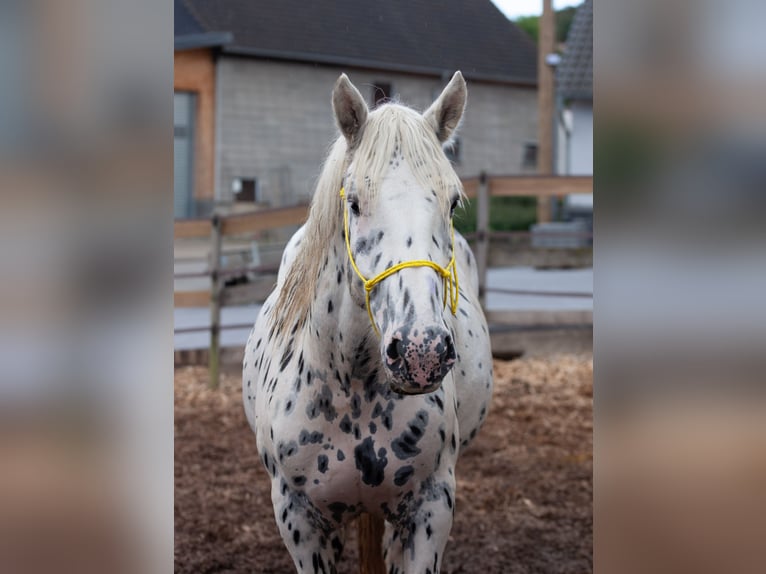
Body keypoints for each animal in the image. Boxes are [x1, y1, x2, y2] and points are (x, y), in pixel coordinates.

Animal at [246, 73, 498, 574]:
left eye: (453, 202)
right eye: (356, 203)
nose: (422, 352)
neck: (352, 386)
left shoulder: (429, 510)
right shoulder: (299, 519)